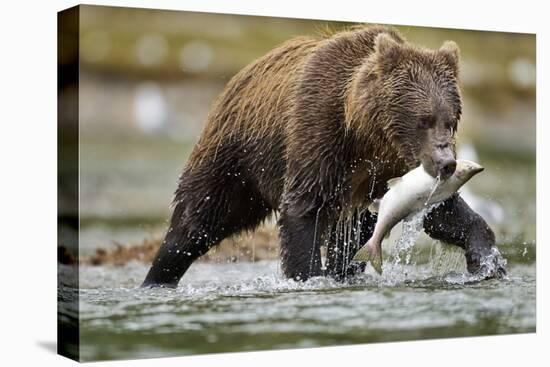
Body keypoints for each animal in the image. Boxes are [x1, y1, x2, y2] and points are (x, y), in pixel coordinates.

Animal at [142, 24, 508, 288]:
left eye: (451, 119)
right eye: (424, 119)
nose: (446, 163)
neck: (366, 136)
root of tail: (237, 79)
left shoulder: (392, 169)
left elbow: (441, 211)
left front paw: (487, 261)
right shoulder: (318, 135)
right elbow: (303, 210)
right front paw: (309, 276)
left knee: (356, 236)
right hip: (235, 159)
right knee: (197, 221)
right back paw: (157, 278)